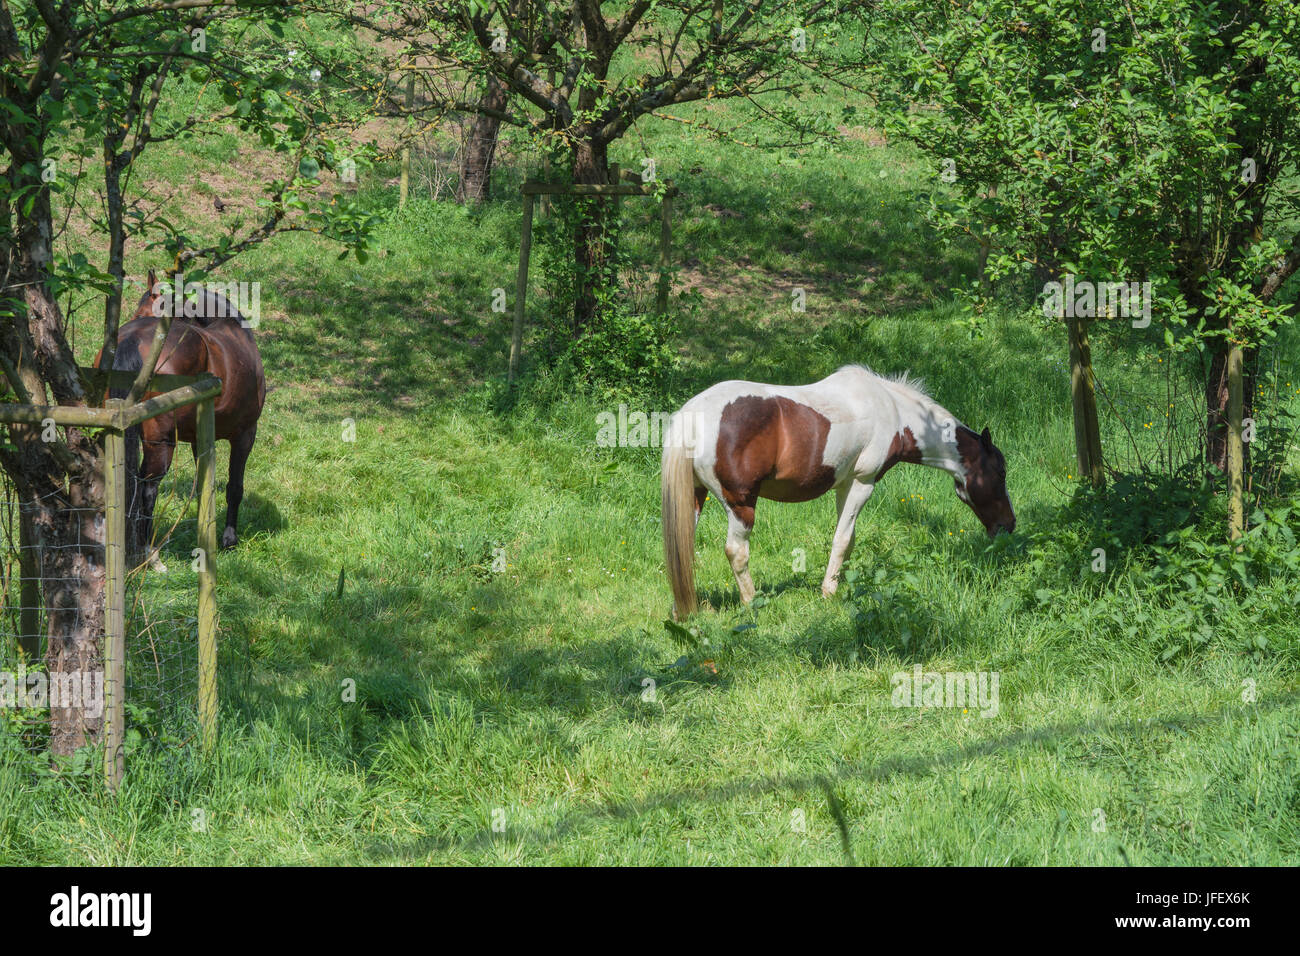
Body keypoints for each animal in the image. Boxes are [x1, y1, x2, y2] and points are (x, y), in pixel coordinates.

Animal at [94, 270, 266, 565]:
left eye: (144, 309)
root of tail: (131, 339)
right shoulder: (245, 434)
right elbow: (234, 487)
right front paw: (229, 540)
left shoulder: (200, 440)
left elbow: (204, 486)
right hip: (162, 443)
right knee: (148, 488)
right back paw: (150, 554)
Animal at [660, 365, 1015, 619]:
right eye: (1000, 472)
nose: (1008, 526)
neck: (893, 410)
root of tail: (694, 415)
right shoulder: (862, 482)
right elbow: (843, 539)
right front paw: (829, 592)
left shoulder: (844, 485)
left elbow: (848, 538)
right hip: (740, 504)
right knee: (736, 551)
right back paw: (752, 603)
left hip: (694, 497)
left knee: (681, 548)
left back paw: (682, 610)